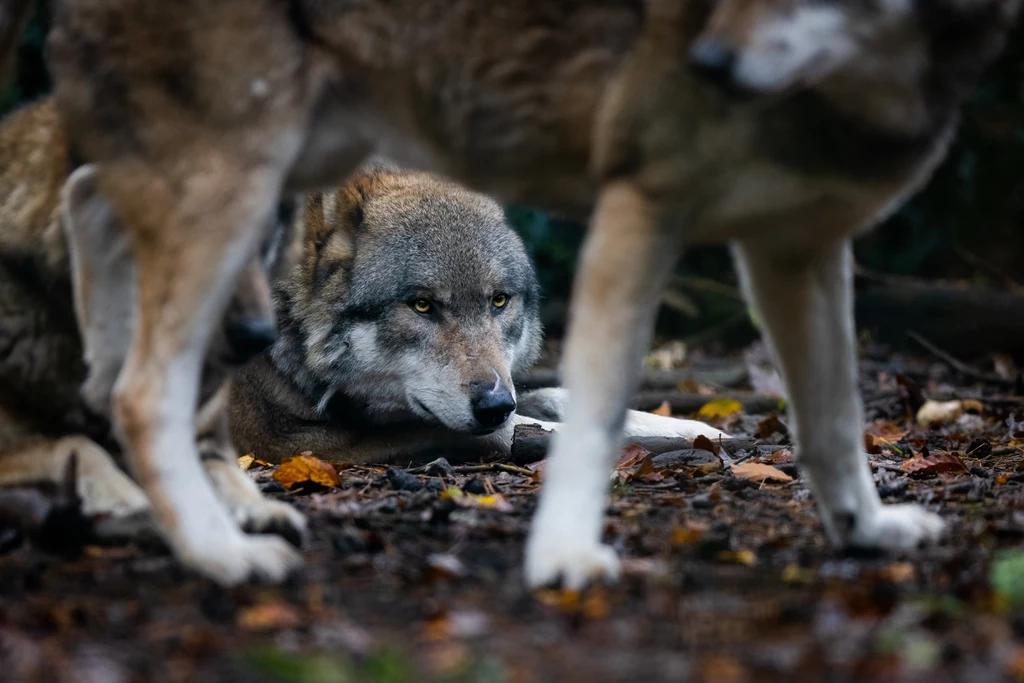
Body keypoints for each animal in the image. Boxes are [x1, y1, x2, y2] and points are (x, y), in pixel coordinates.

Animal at [0, 97, 305, 544]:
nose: (257, 336)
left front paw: (260, 509)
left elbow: (225, 471)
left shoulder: (201, 433)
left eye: (258, 238)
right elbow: (74, 445)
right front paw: (128, 498)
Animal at [232, 160, 729, 464]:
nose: (493, 405)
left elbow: (554, 397)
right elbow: (517, 430)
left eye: (499, 301)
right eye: (422, 305)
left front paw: (696, 429)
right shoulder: (297, 443)